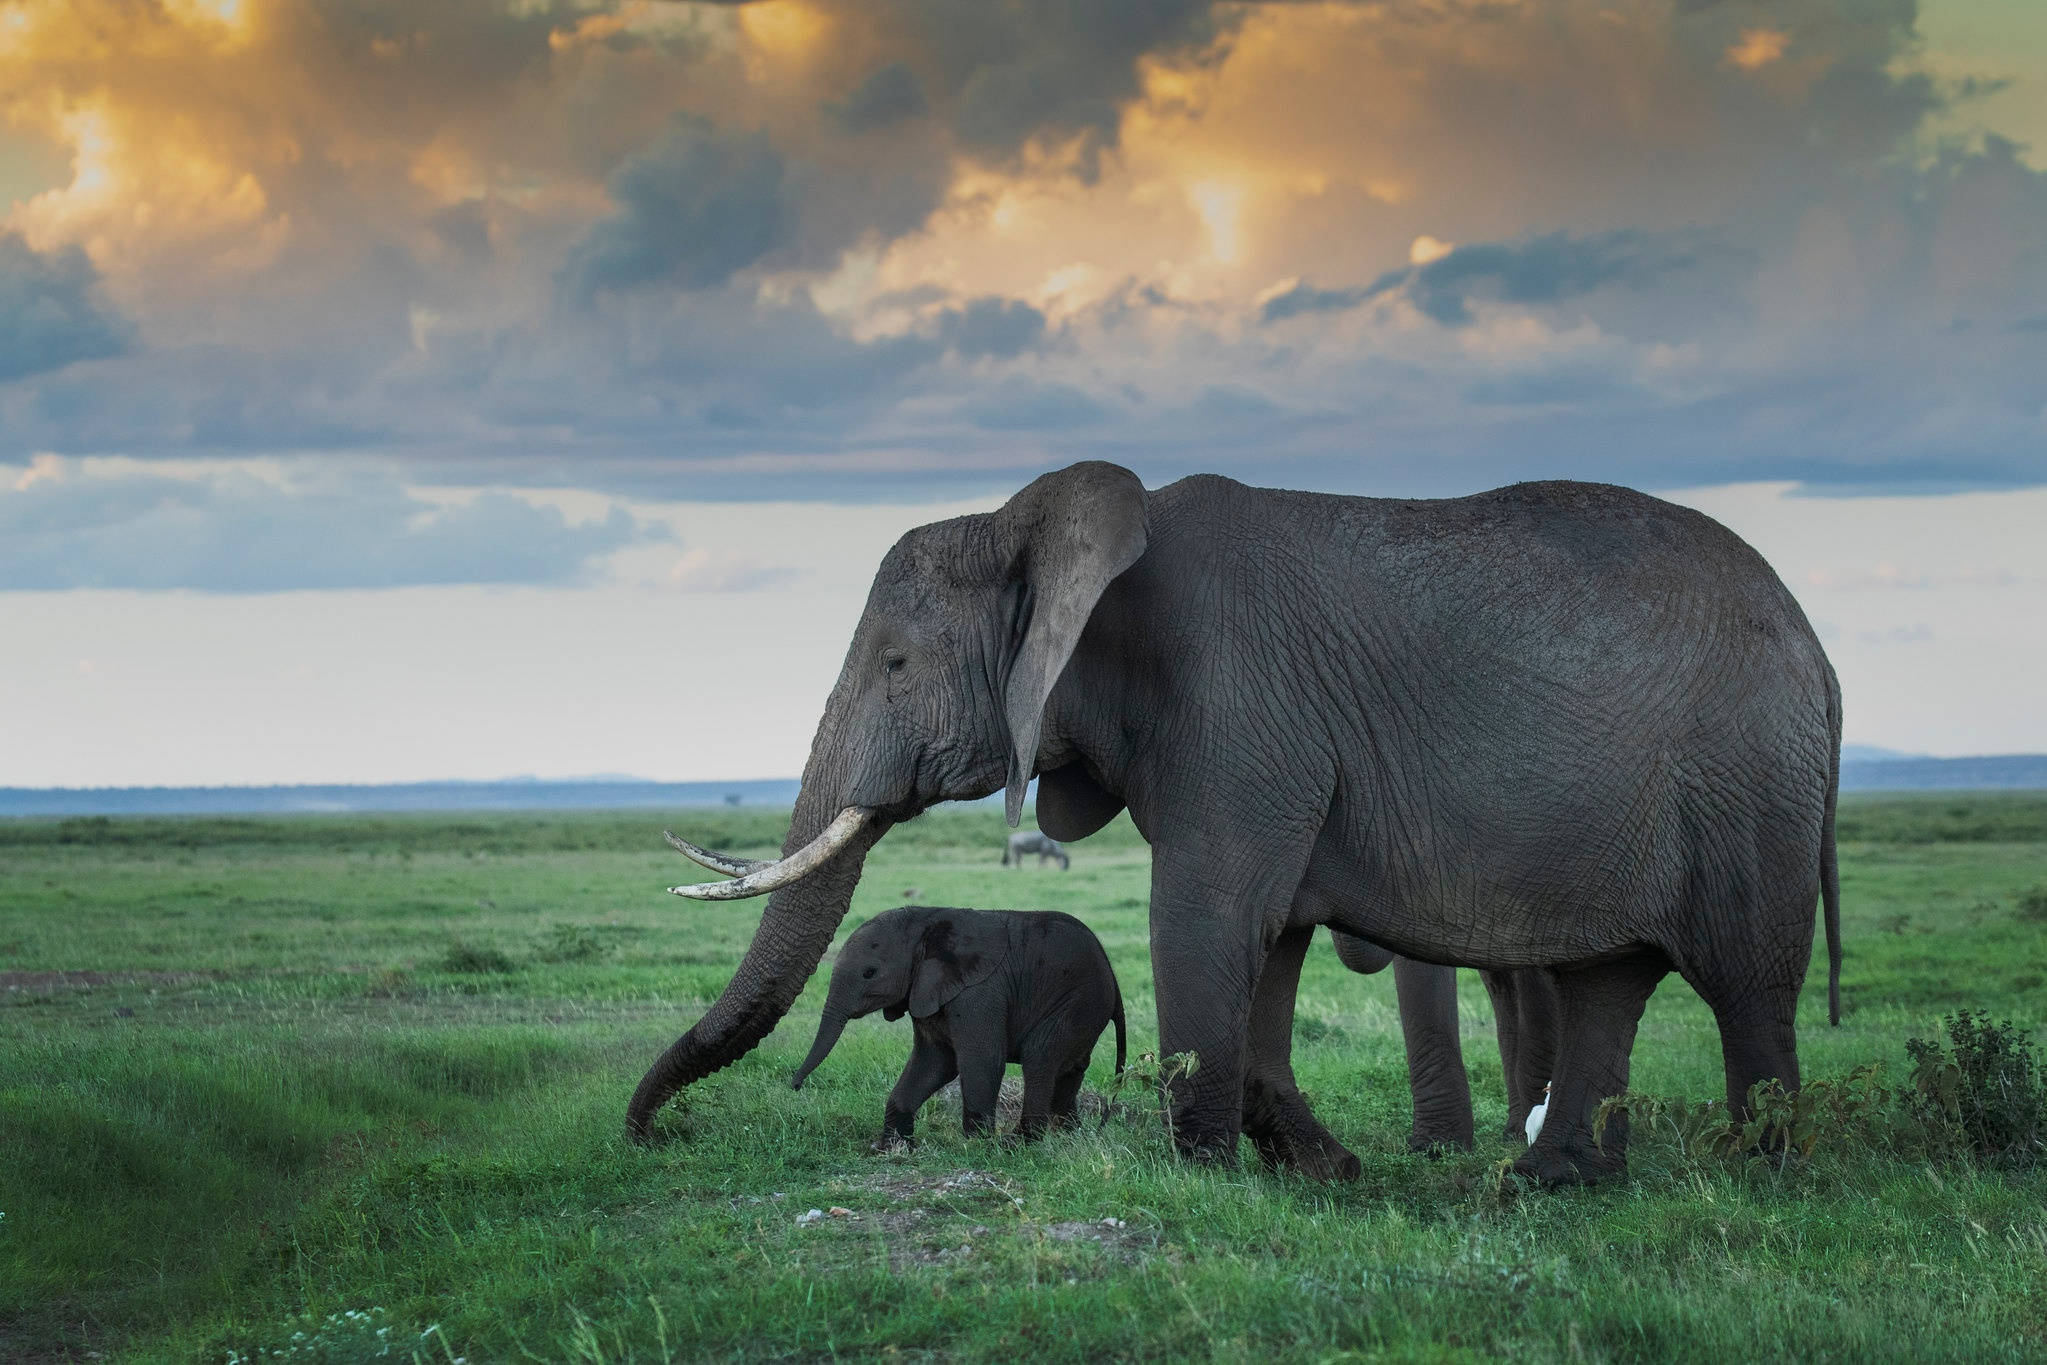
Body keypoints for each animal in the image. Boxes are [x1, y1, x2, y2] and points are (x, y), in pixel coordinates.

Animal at [788, 906, 1126, 1145]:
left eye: (869, 973)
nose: (795, 1085)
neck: (926, 922)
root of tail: (1112, 974)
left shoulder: (979, 992)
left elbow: (981, 1059)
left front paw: (977, 1145)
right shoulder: (927, 991)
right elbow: (934, 1062)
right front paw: (892, 1146)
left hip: (1080, 999)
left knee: (1039, 1058)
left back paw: (1020, 1143)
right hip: (1085, 1008)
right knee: (1070, 1069)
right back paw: (1070, 1135)